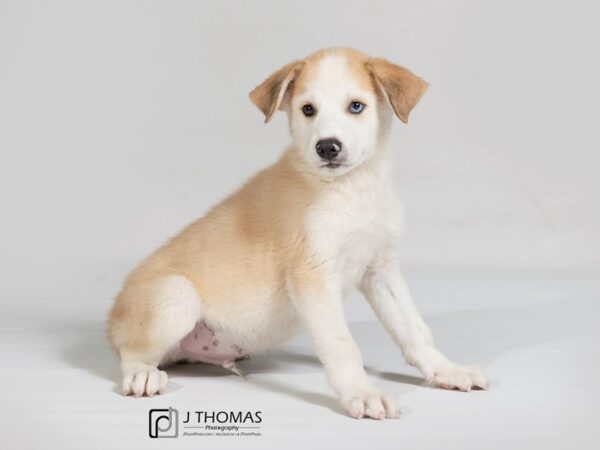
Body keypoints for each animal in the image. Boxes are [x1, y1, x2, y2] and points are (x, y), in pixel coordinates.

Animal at [108, 47, 488, 420]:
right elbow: (342, 345)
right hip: (176, 296)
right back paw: (142, 374)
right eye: (308, 109)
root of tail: (112, 316)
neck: (351, 190)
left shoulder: (381, 268)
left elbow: (414, 328)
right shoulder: (312, 274)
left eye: (356, 106)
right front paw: (362, 393)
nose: (327, 147)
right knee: (133, 352)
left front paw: (447, 370)